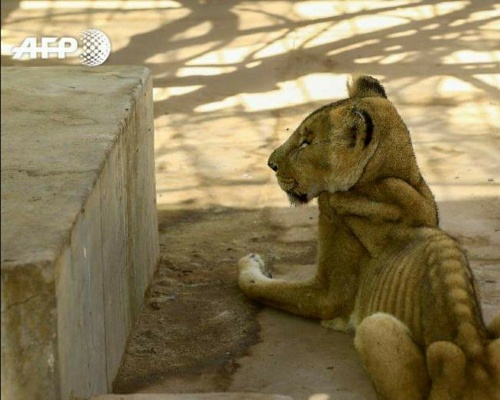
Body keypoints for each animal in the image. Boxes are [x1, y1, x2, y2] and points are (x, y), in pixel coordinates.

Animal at [239, 76, 500, 400]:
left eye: (306, 142)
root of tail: (474, 366)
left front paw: (250, 262)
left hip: (374, 326)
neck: (388, 178)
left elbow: (259, 287)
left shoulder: (328, 293)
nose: (270, 164)